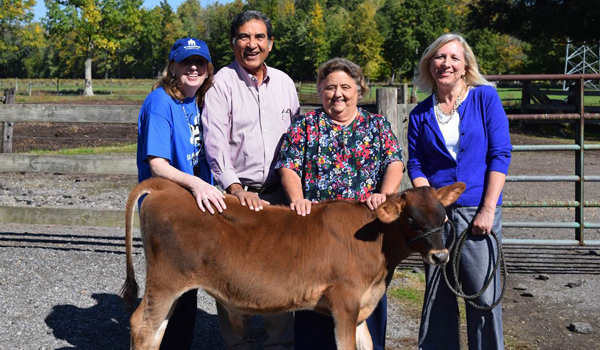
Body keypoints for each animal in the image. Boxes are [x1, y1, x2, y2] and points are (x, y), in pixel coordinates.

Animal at [122, 179, 466, 348]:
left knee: (157, 328)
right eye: (411, 220)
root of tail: (167, 187)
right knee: (141, 326)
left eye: (443, 217)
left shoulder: (361, 307)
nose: (440, 256)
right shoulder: (345, 300)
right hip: (166, 279)